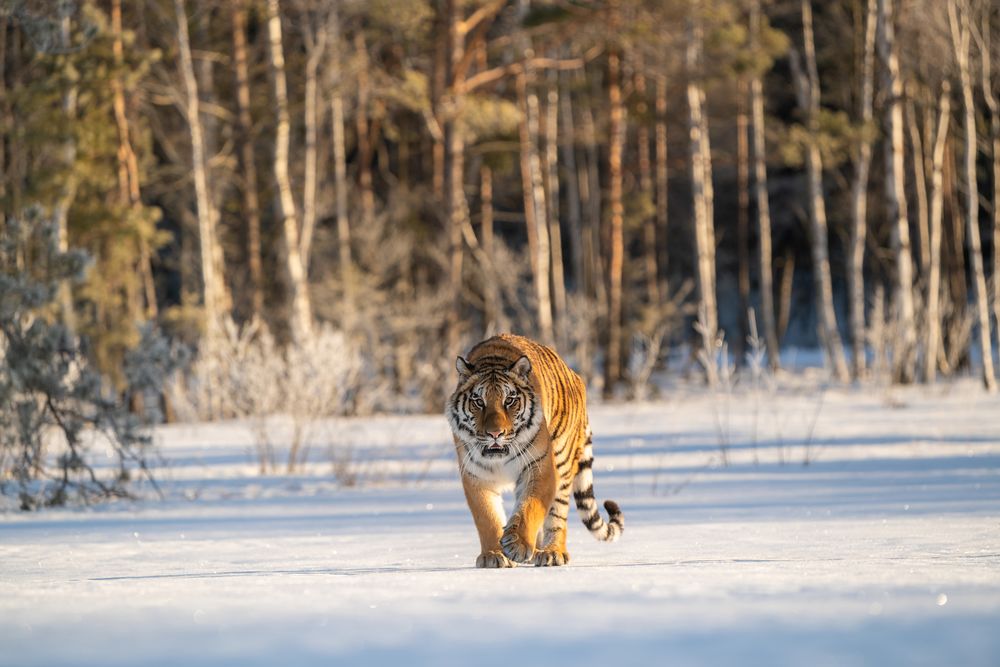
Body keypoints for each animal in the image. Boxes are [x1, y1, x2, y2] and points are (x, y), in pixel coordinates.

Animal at [445, 333, 623, 568]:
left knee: (557, 516)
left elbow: (531, 507)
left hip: (562, 463)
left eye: (509, 400)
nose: (495, 433)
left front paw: (517, 545)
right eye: (478, 401)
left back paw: (552, 552)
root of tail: (575, 375)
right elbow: (487, 517)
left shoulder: (540, 467)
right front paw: (493, 555)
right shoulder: (476, 476)